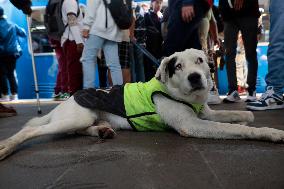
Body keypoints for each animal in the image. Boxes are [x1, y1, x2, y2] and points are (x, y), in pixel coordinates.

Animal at [0, 48, 284, 159]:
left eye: (201, 60)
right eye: (177, 66)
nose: (195, 77)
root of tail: (67, 101)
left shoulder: (205, 115)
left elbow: (234, 117)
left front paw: (248, 115)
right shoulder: (192, 125)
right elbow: (237, 128)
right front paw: (271, 132)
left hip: (85, 118)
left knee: (80, 130)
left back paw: (102, 130)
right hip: (76, 115)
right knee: (31, 130)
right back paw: (6, 147)